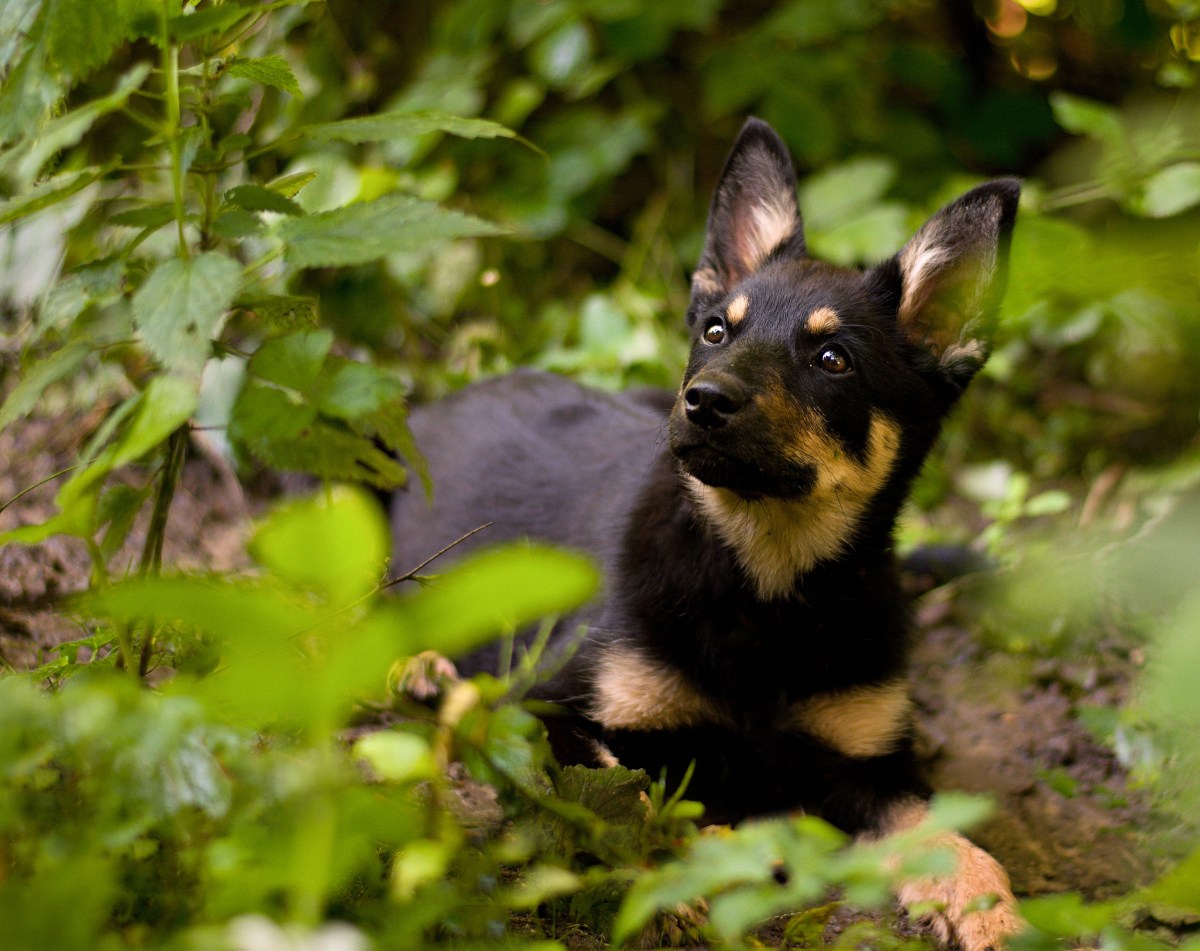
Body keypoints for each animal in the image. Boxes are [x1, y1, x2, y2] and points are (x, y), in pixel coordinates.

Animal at [393, 118, 1022, 951]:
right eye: (718, 330)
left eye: (833, 358)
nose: (704, 400)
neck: (765, 588)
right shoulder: (556, 710)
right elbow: (625, 798)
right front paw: (674, 882)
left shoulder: (867, 764)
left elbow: (949, 836)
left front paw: (993, 909)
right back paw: (422, 668)